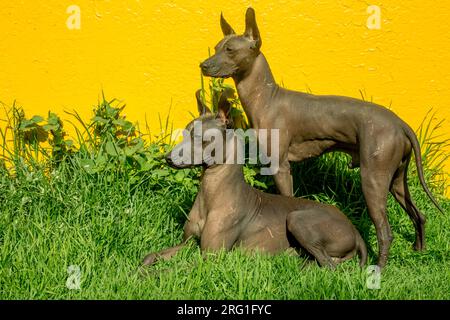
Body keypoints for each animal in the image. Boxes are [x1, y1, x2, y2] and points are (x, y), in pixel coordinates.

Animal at [142, 90, 368, 270]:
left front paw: (148, 276)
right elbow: (150, 256)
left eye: (201, 139)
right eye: (185, 134)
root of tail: (354, 229)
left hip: (297, 219)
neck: (211, 193)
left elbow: (173, 269)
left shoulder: (210, 257)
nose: (167, 158)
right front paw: (139, 270)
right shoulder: (187, 243)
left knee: (329, 265)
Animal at [200, 7, 442, 268]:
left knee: (385, 231)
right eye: (217, 47)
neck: (266, 98)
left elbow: (287, 198)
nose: (203, 65)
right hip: (396, 180)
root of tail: (400, 123)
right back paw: (419, 251)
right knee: (419, 214)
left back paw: (378, 269)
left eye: (230, 50)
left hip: (373, 180)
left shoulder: (281, 168)